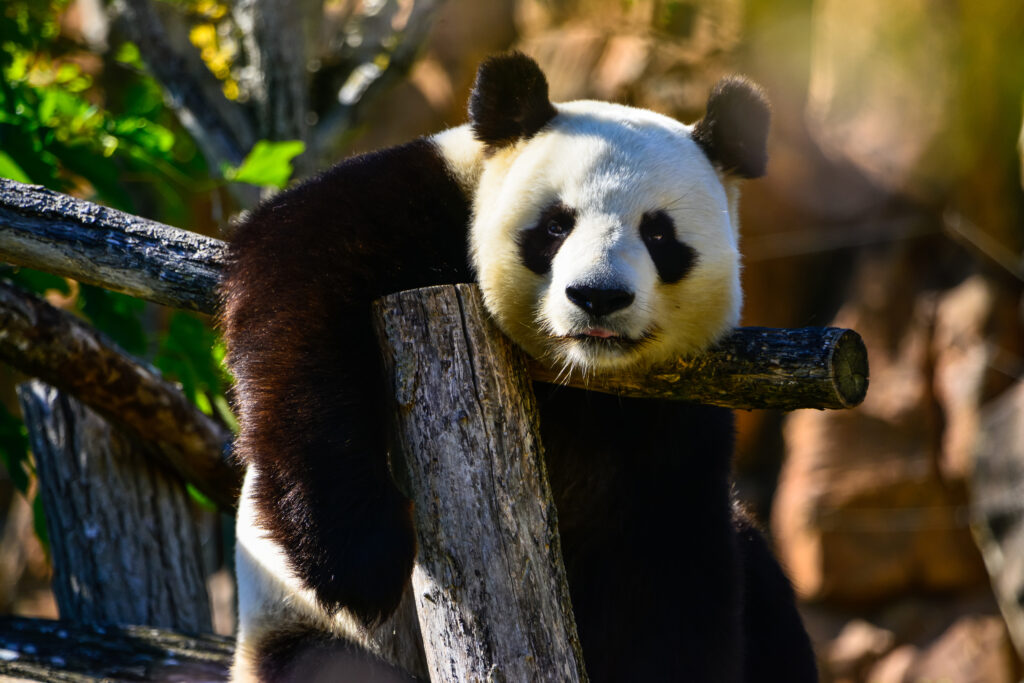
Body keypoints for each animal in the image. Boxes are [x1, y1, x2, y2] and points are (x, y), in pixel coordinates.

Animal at [222, 53, 818, 682]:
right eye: (556, 225)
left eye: (658, 233)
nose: (597, 296)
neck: (578, 378)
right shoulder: (416, 204)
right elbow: (298, 293)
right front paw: (363, 559)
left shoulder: (676, 426)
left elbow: (668, 573)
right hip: (303, 635)